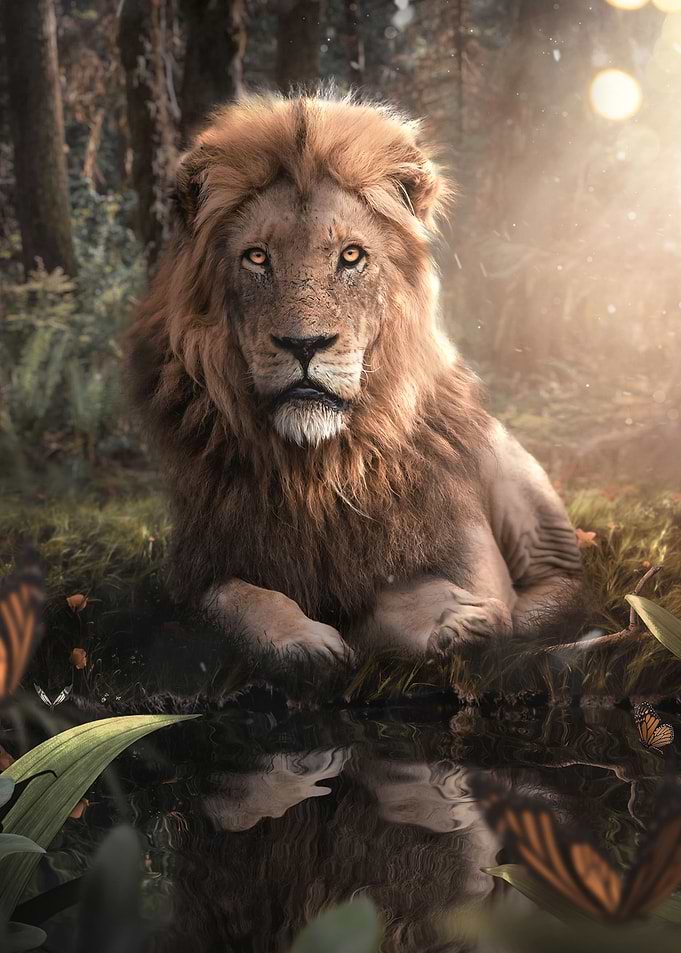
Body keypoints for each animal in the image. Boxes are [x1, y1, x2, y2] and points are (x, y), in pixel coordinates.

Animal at [126, 91, 582, 664]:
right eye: (257, 257)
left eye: (351, 256)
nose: (304, 344)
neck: (319, 469)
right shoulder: (197, 569)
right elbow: (234, 599)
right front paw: (299, 643)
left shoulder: (475, 563)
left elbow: (394, 593)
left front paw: (461, 620)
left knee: (567, 581)